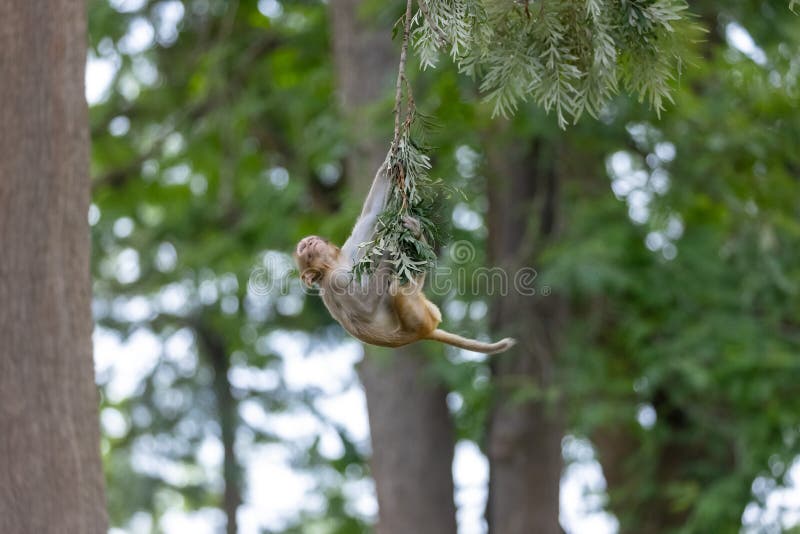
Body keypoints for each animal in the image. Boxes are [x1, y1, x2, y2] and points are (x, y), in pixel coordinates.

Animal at [294, 164, 516, 354]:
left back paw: (416, 239)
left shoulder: (349, 253)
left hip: (426, 311)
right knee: (397, 291)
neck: (334, 264)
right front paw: (389, 251)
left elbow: (371, 214)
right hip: (417, 320)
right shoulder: (334, 281)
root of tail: (425, 333)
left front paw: (394, 159)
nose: (308, 242)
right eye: (304, 250)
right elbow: (366, 307)